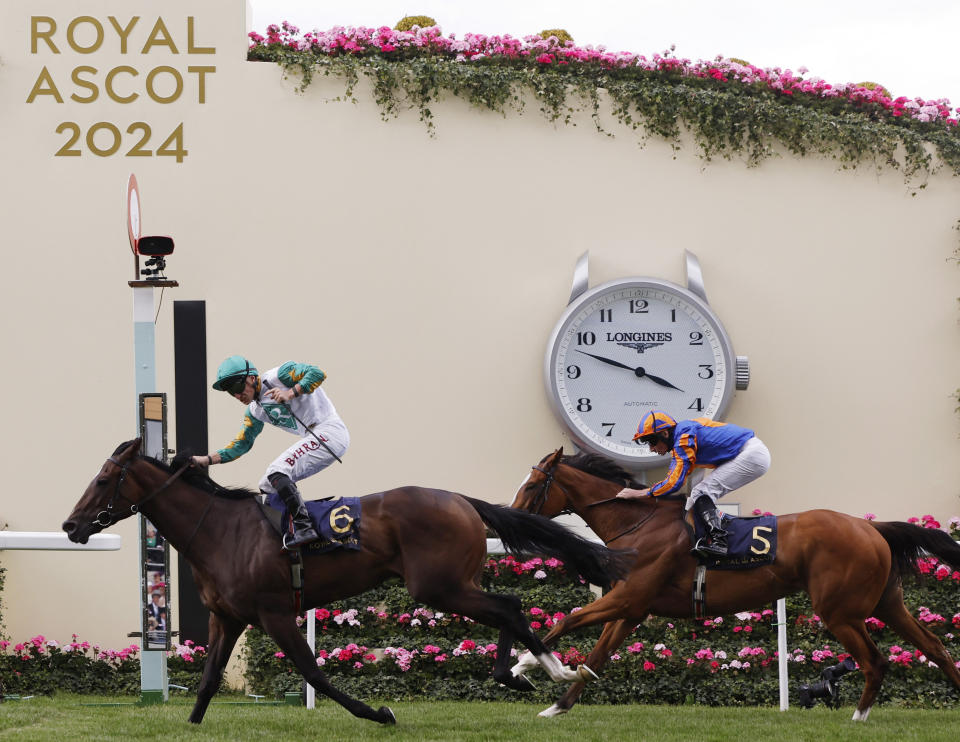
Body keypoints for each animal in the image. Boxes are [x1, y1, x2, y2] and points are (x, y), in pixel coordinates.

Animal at [63, 442, 632, 728]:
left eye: (102, 481)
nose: (71, 526)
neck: (221, 531)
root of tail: (462, 500)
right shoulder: (229, 618)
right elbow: (205, 683)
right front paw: (191, 726)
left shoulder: (273, 613)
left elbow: (313, 673)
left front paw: (379, 713)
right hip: (447, 584)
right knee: (508, 605)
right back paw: (531, 674)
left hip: (439, 586)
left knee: (509, 604)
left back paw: (544, 672)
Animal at [512, 450, 960, 724]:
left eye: (533, 485)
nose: (511, 518)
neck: (637, 525)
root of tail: (871, 526)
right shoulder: (632, 607)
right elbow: (596, 658)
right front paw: (556, 706)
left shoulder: (627, 598)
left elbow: (566, 621)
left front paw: (527, 666)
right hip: (886, 603)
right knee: (935, 647)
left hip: (841, 612)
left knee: (875, 661)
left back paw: (857, 718)